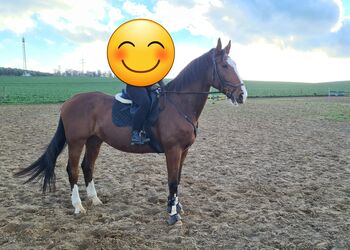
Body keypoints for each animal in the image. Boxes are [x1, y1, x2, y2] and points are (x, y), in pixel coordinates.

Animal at [15, 38, 246, 225]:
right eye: (225, 65)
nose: (242, 94)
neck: (178, 104)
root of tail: (69, 102)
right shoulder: (173, 150)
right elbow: (172, 181)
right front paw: (173, 215)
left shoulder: (184, 151)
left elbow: (178, 179)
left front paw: (176, 207)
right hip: (76, 141)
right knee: (72, 170)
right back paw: (78, 206)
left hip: (94, 140)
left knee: (87, 167)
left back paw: (95, 200)